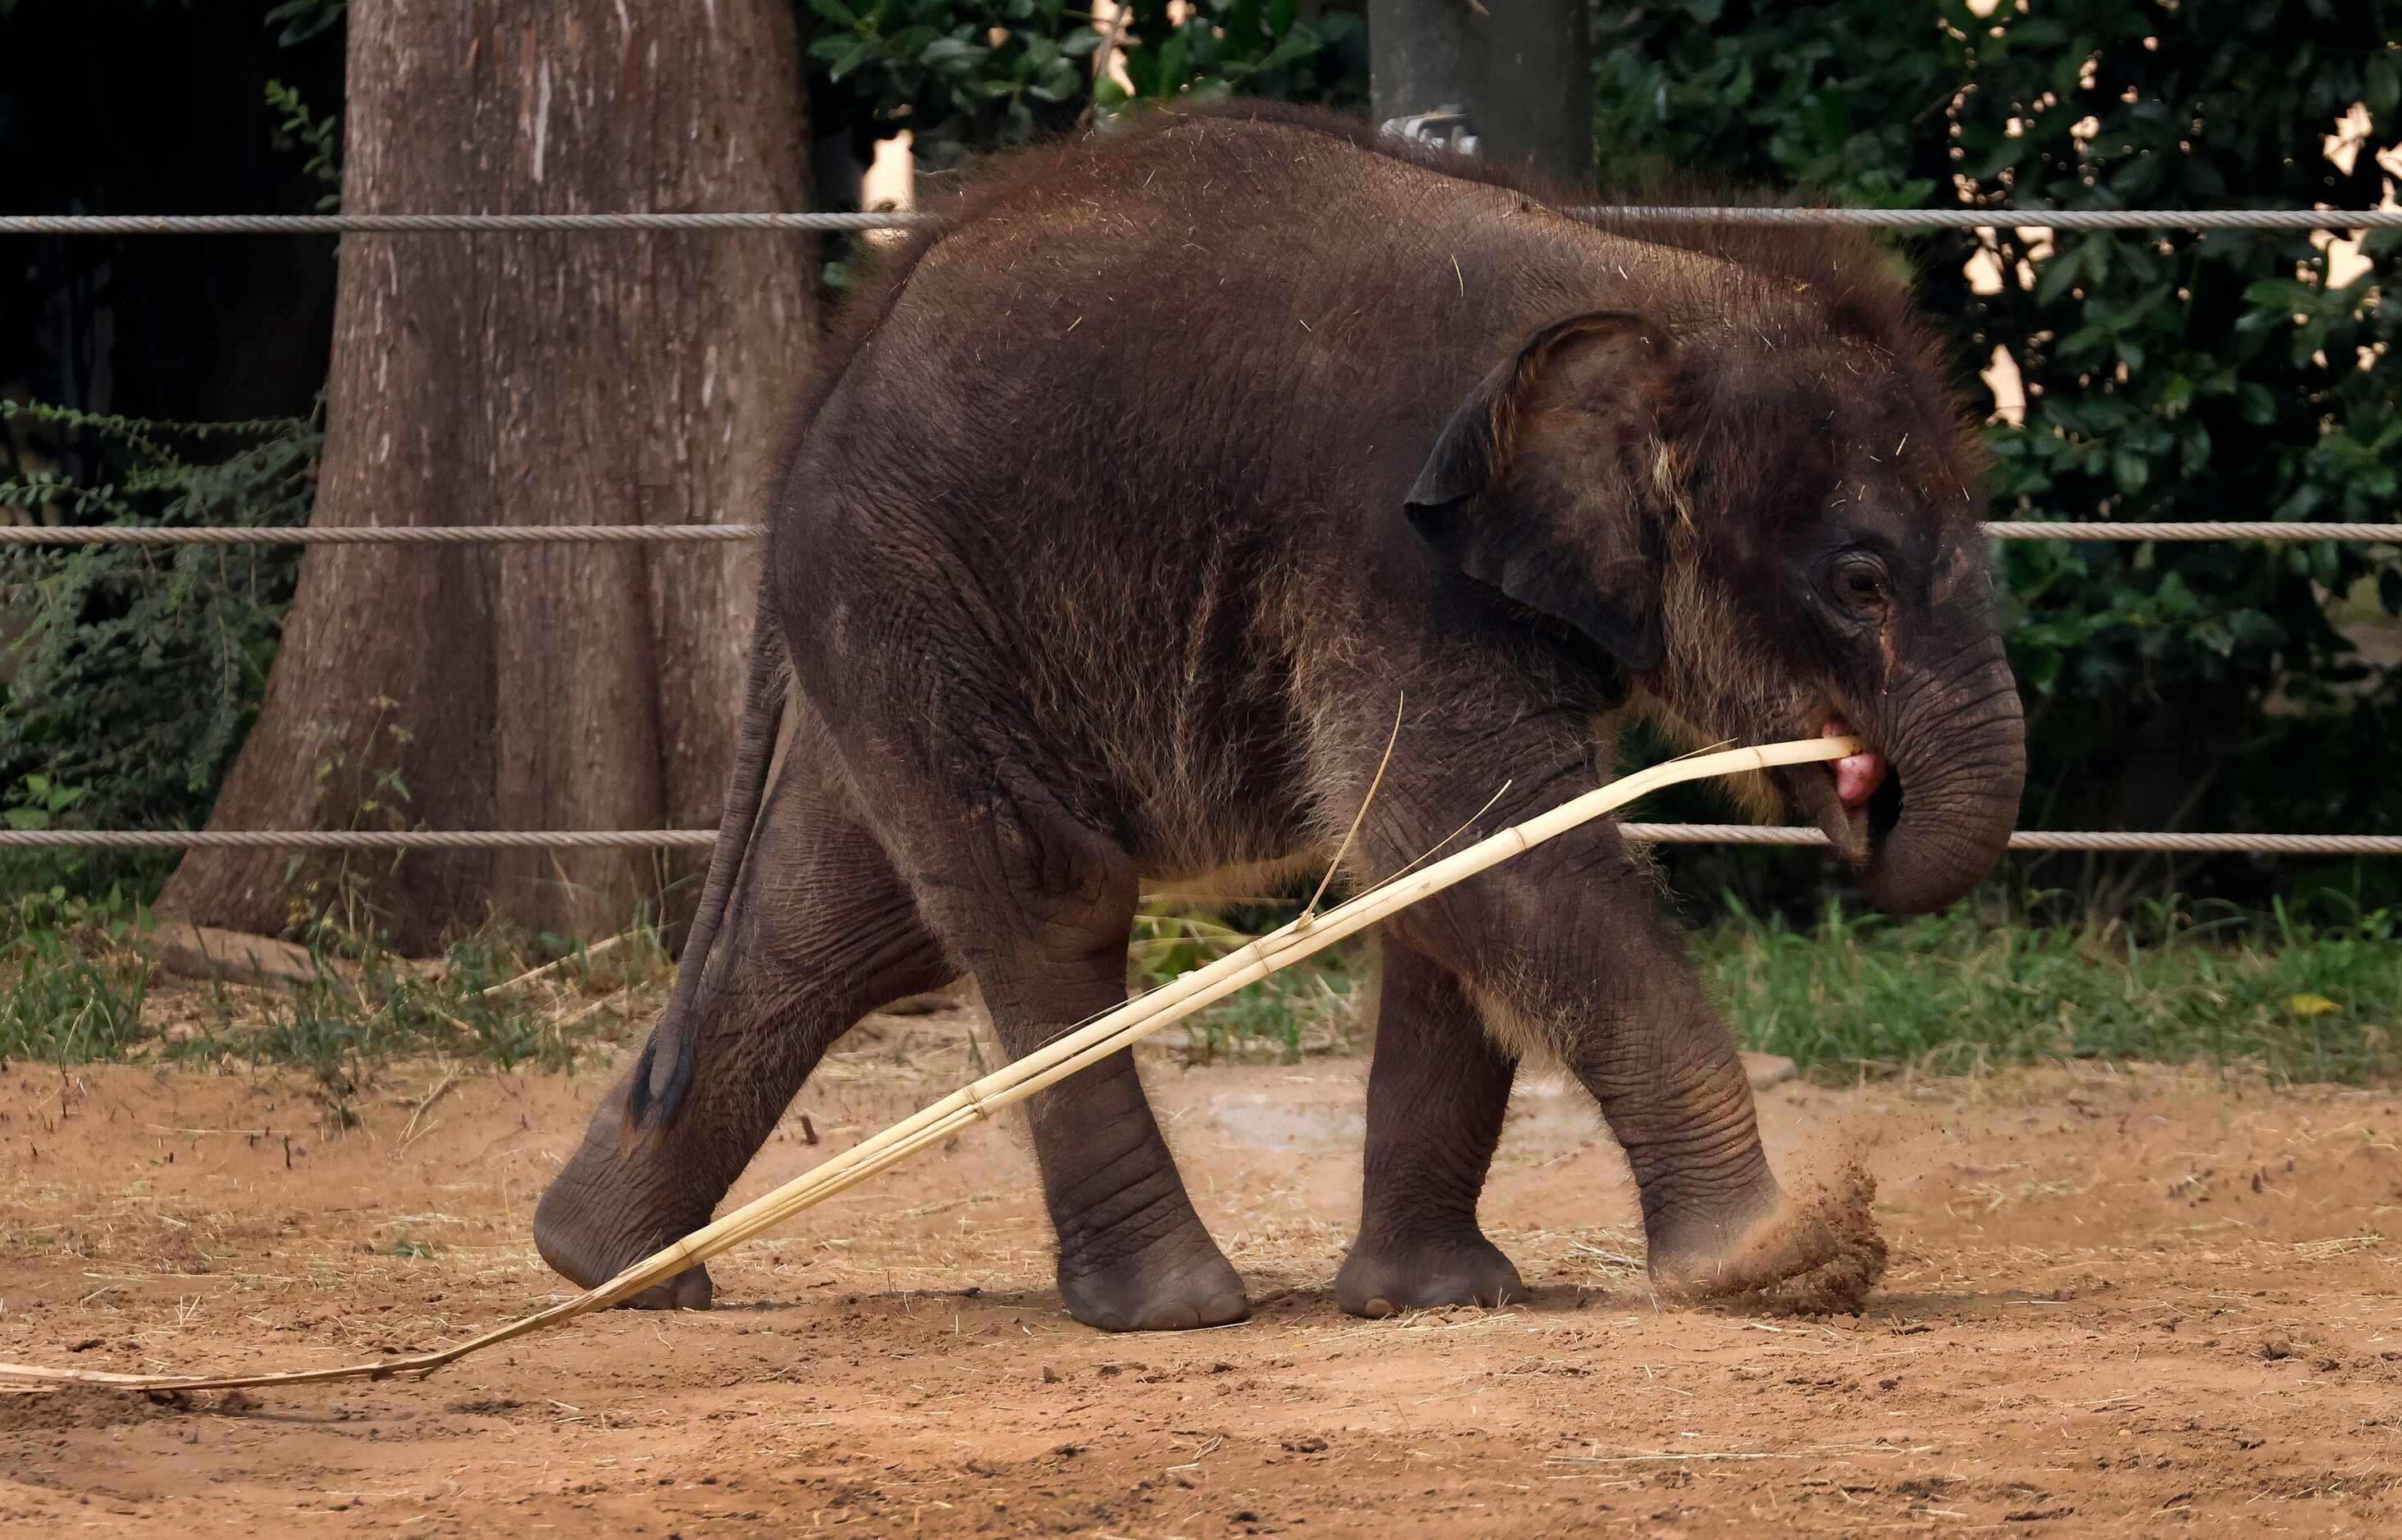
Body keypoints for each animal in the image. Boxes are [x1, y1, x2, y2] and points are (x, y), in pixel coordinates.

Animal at [531, 105, 2027, 1335]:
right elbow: (1474, 844)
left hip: (895, 630)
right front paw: (1781, 1260)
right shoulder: (1388, 559)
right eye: (1858, 579)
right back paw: (1174, 1309)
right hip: (910, 592)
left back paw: (605, 1270)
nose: (1860, 788)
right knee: (1042, 900)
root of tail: (830, 378)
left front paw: (1435, 1301)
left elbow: (1449, 880)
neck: (1636, 274)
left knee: (839, 923)